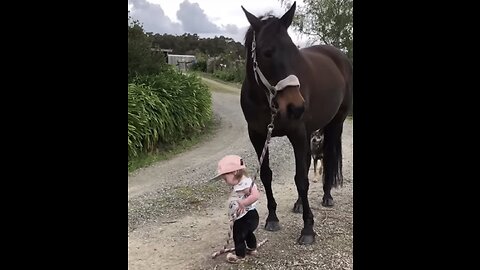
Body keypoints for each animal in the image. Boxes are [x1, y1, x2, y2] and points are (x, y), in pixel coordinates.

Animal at [242, 1, 350, 245]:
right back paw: (300, 203)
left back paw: (327, 196)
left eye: (294, 51)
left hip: (335, 123)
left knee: (328, 158)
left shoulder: (298, 134)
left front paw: (308, 229)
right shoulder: (258, 136)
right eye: (267, 52)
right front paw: (272, 217)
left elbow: (301, 179)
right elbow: (267, 175)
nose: (297, 107)